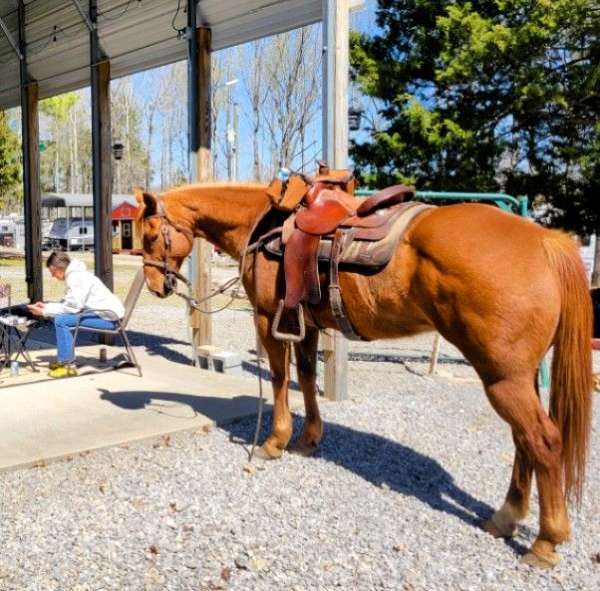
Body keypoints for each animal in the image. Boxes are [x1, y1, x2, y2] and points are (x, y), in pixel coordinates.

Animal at [137, 184, 596, 568]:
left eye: (149, 234)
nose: (157, 285)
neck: (264, 227)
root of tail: (544, 241)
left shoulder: (270, 320)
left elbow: (281, 379)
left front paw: (274, 441)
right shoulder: (306, 323)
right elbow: (308, 378)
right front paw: (308, 439)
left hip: (503, 378)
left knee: (544, 442)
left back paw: (545, 541)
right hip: (514, 377)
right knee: (524, 442)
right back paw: (505, 517)